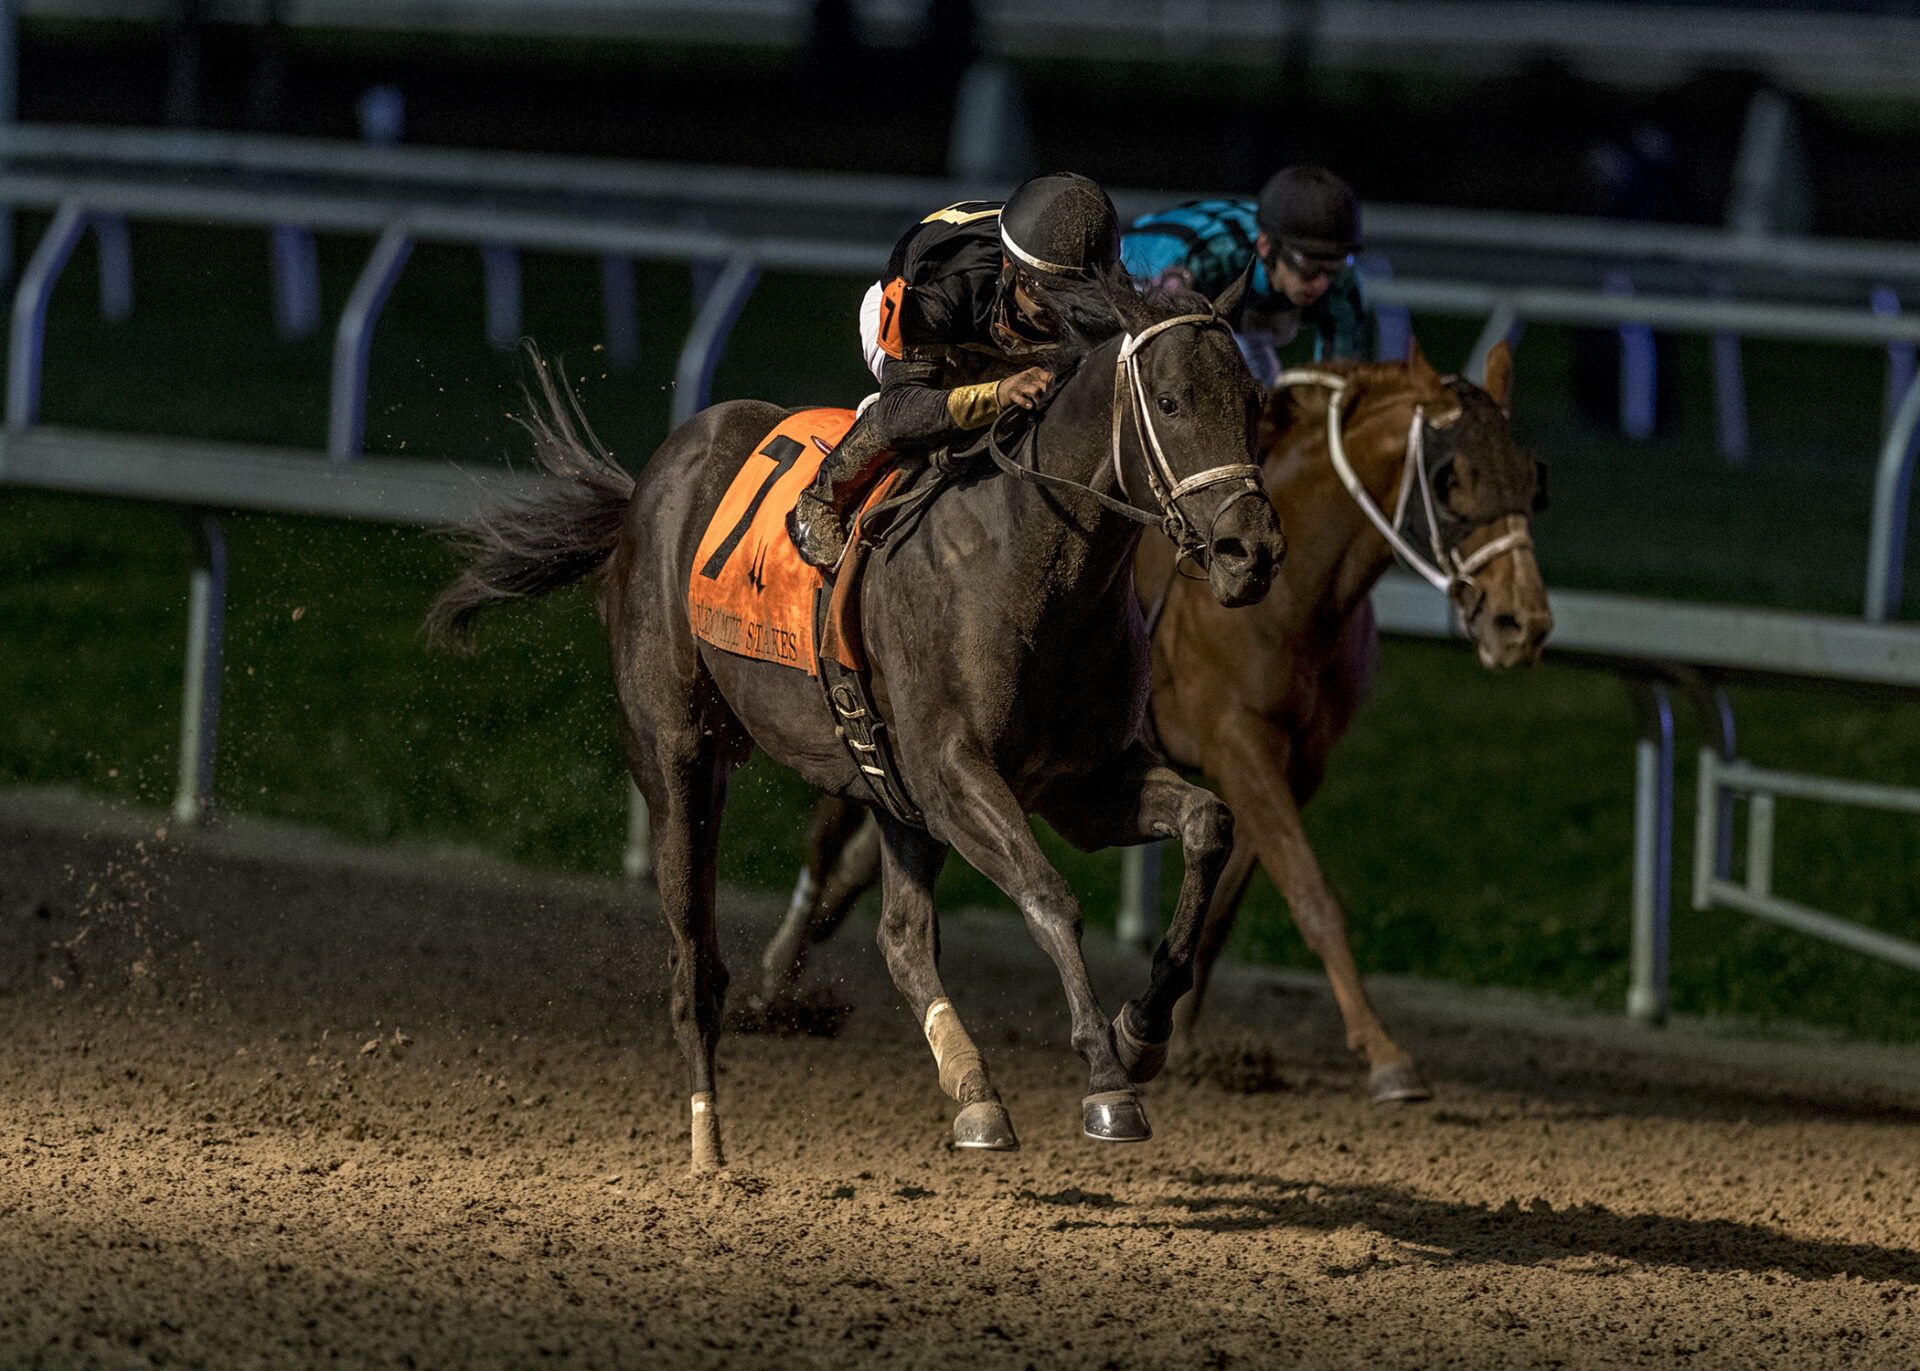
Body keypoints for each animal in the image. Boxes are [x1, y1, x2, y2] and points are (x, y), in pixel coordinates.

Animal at [426, 274, 1289, 1171]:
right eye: (1171, 400)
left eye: (1254, 400)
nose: (1251, 551)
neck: (1033, 564)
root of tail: (645, 489)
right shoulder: (955, 774)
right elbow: (1049, 896)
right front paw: (1107, 1081)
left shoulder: (1083, 783)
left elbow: (1208, 824)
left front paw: (1141, 1029)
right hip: (677, 756)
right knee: (695, 961)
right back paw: (708, 1140)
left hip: (886, 786)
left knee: (901, 937)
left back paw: (974, 1092)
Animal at [753, 340, 1552, 1104]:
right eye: (1452, 478)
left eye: (1533, 477)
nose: (1524, 622)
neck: (1298, 600)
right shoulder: (1237, 743)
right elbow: (1312, 894)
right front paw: (1386, 1055)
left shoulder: (1298, 762)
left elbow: (1229, 900)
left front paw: (1175, 1030)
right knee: (828, 843)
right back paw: (775, 985)